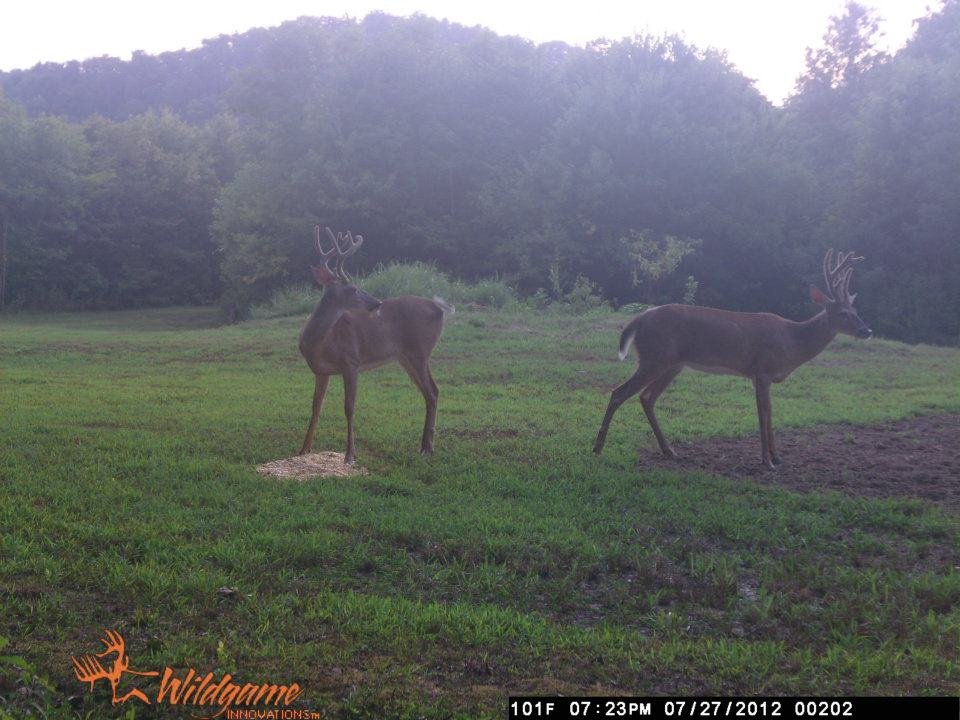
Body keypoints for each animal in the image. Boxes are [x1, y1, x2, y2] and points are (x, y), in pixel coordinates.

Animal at [298, 226, 453, 464]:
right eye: (353, 289)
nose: (377, 302)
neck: (319, 344)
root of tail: (439, 308)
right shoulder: (321, 371)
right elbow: (316, 407)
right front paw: (303, 450)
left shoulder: (351, 362)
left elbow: (349, 407)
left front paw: (350, 455)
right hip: (406, 357)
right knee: (431, 392)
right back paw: (426, 446)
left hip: (419, 351)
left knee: (432, 391)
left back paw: (427, 447)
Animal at [593, 249, 872, 469]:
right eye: (843, 313)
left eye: (856, 310)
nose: (867, 330)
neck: (792, 342)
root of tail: (638, 319)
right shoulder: (762, 370)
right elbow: (764, 413)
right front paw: (767, 461)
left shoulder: (760, 375)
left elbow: (771, 413)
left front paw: (778, 457)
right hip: (654, 358)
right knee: (618, 393)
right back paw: (598, 448)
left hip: (672, 364)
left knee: (646, 397)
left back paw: (670, 450)